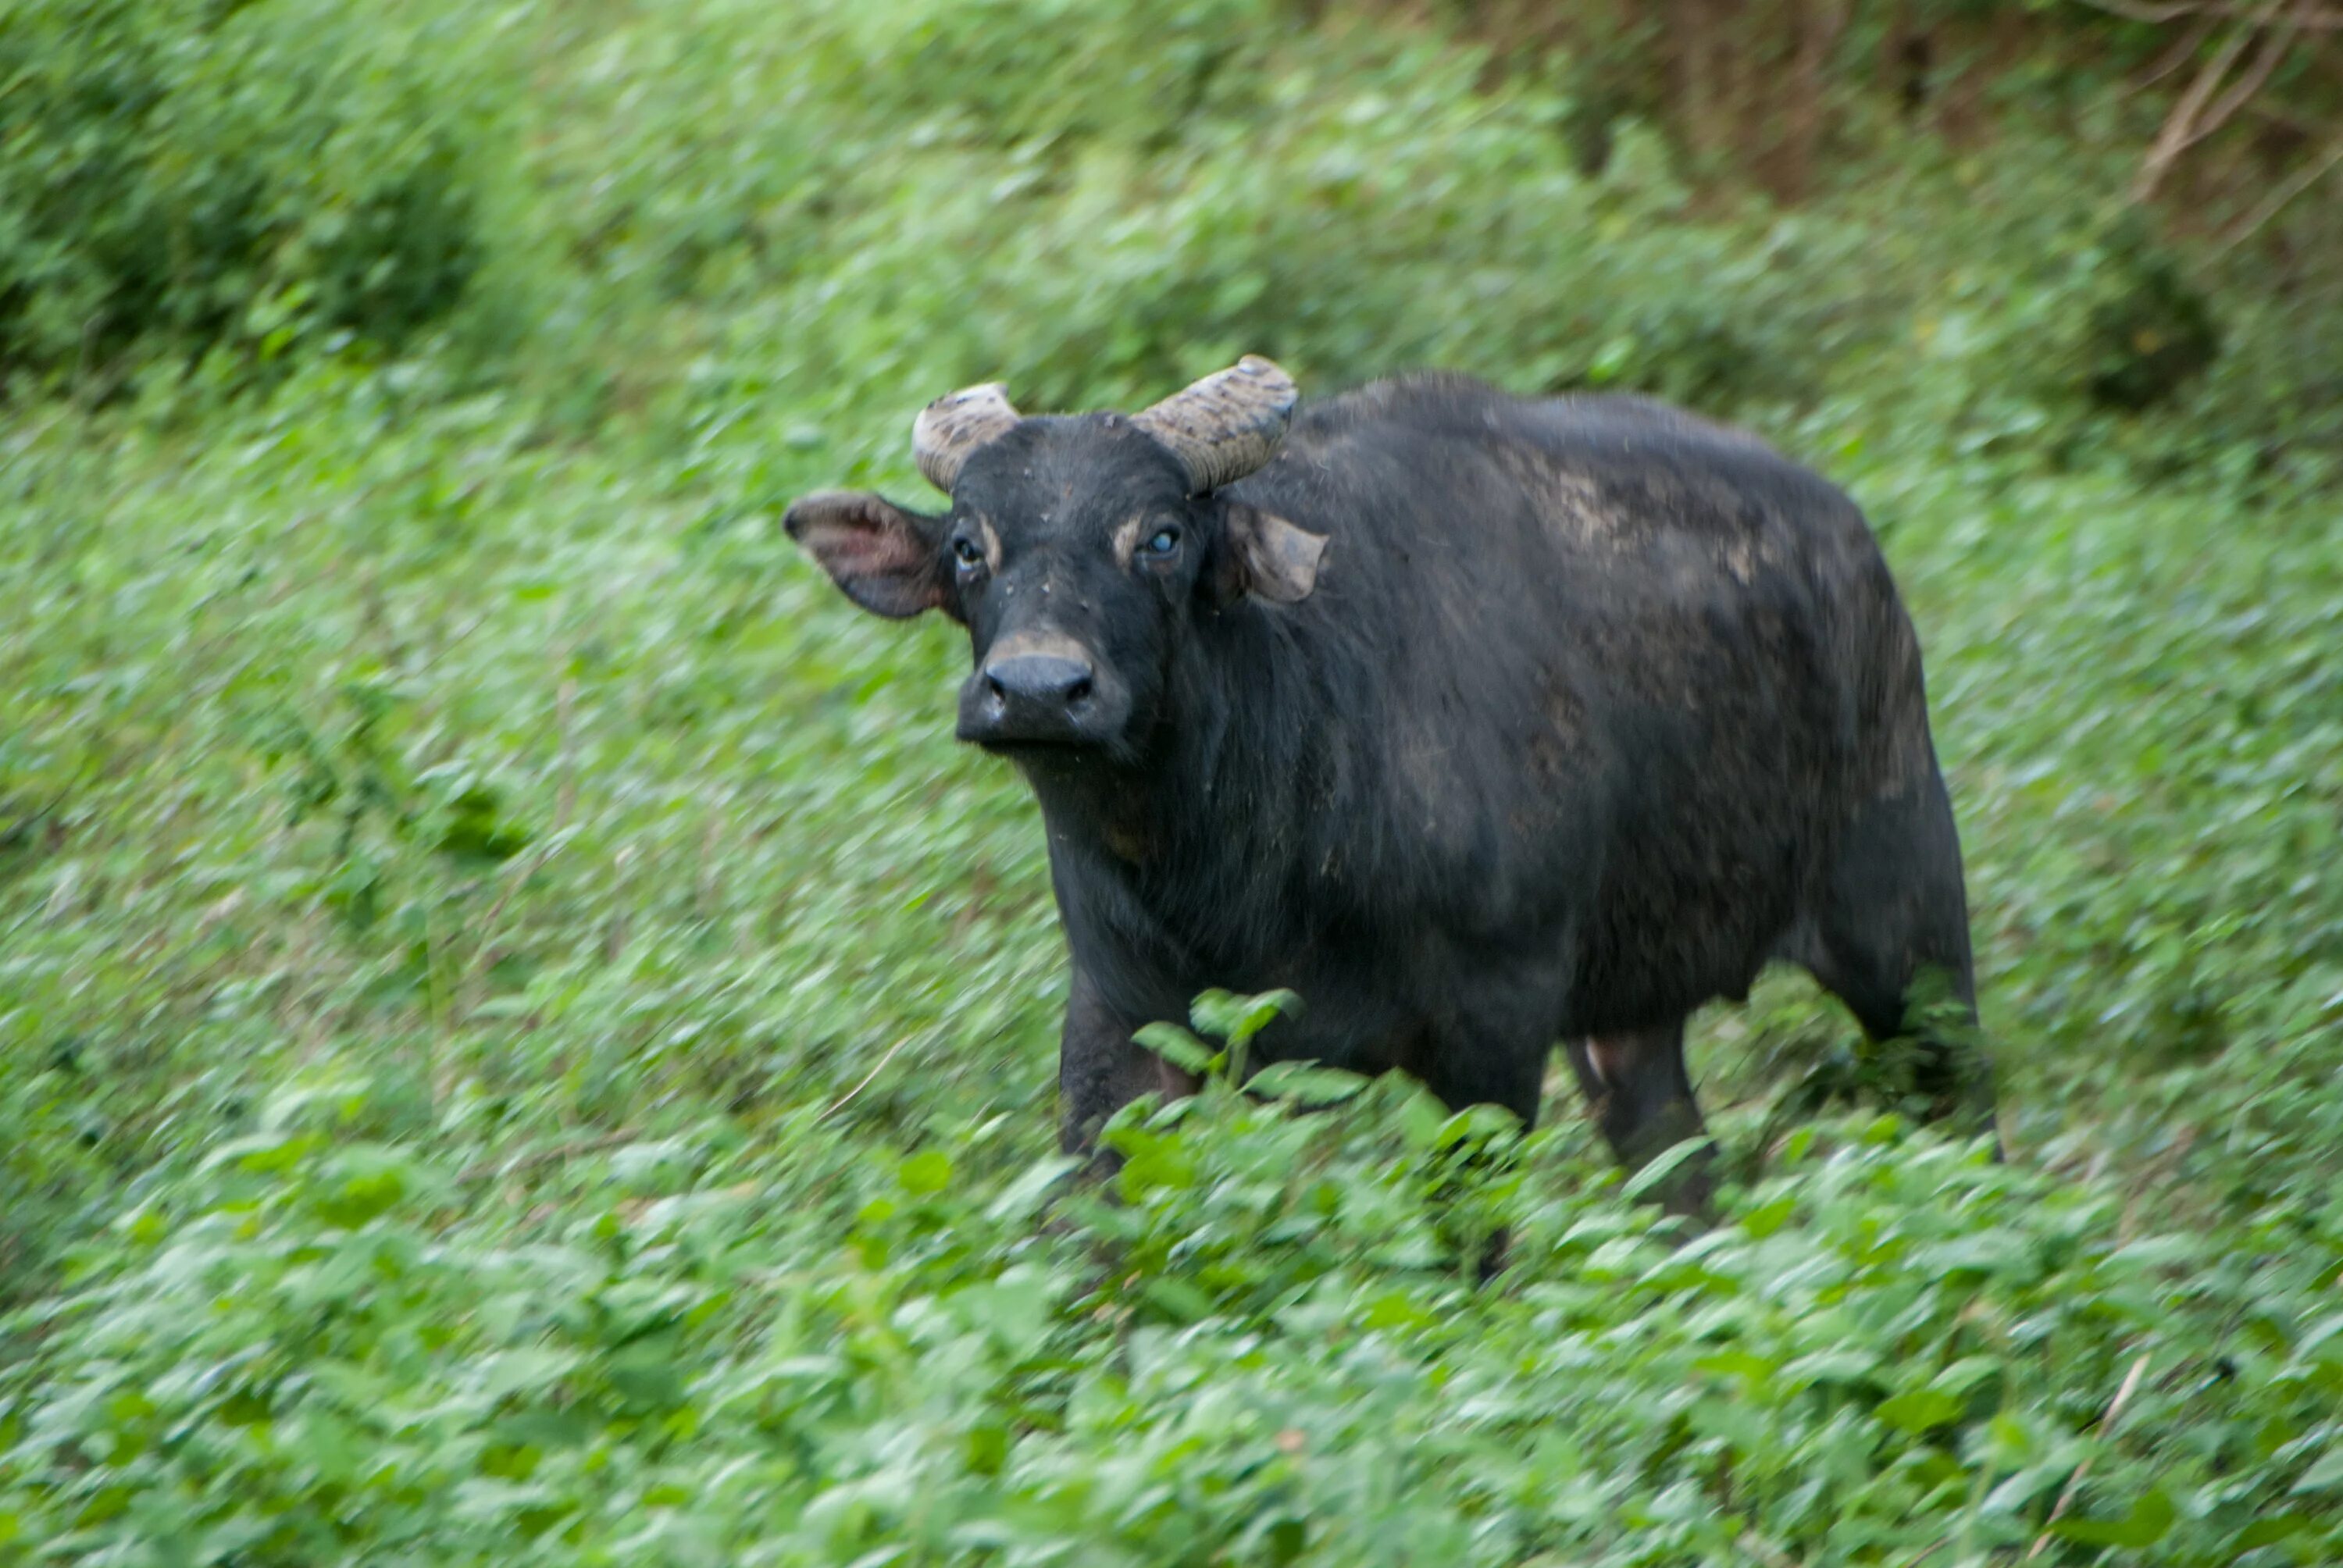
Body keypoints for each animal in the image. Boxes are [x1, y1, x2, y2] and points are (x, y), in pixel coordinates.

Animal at [787, 358, 1996, 1209]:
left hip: (1911, 935)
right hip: (1631, 1024)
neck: (1244, 858)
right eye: (969, 546)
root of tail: (1858, 555)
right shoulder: (1117, 1023)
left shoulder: (1492, 1037)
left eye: (1163, 537)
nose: (1037, 688)